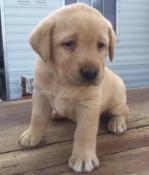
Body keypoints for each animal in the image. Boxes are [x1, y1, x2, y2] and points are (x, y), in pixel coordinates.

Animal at [19, 3, 129, 173]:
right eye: (68, 43)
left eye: (101, 45)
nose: (91, 73)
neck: (62, 80)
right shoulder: (40, 94)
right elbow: (37, 117)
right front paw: (32, 135)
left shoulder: (89, 105)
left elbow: (84, 132)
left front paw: (83, 158)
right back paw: (57, 113)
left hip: (117, 99)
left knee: (123, 111)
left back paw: (117, 123)